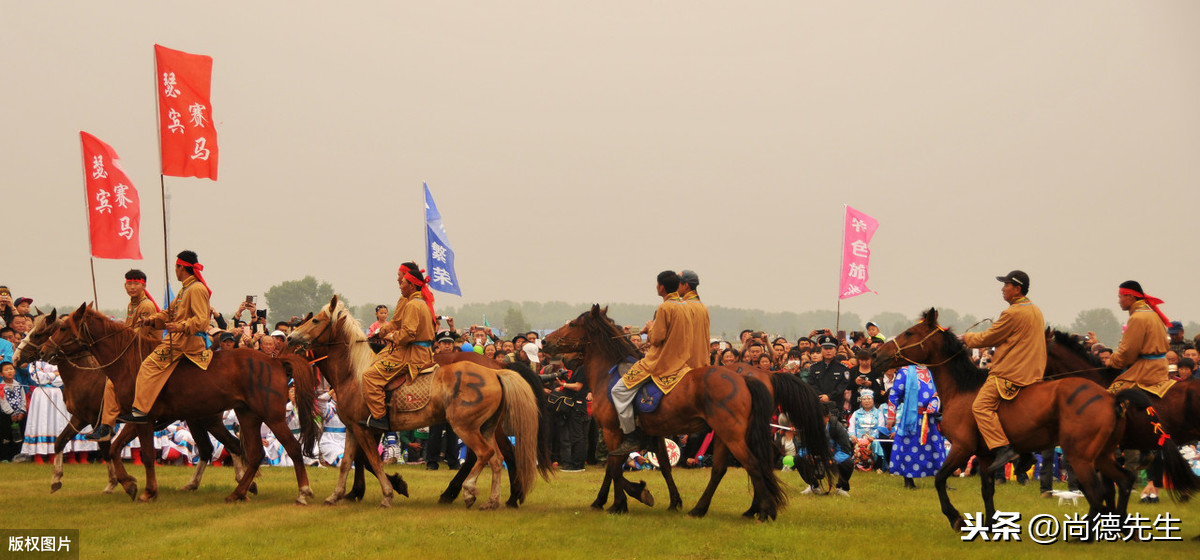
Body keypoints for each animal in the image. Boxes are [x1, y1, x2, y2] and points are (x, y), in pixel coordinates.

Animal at [15, 309, 248, 496]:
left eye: (38, 333)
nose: (18, 357)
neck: (86, 375)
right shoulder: (81, 418)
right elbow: (61, 441)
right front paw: (56, 480)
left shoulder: (96, 420)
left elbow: (106, 449)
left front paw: (115, 483)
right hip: (195, 420)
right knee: (209, 449)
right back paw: (199, 484)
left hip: (207, 420)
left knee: (230, 445)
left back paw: (241, 480)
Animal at [42, 304, 319, 506]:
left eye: (63, 327)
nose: (44, 351)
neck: (129, 362)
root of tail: (275, 361)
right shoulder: (132, 419)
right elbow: (114, 449)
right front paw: (129, 484)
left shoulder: (142, 419)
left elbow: (144, 455)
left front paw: (147, 491)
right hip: (246, 416)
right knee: (253, 454)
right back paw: (238, 492)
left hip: (270, 417)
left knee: (292, 448)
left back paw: (303, 492)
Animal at [280, 298, 544, 513]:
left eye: (315, 320)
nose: (290, 340)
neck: (354, 374)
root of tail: (495, 371)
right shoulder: (354, 429)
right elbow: (348, 463)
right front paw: (338, 495)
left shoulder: (366, 429)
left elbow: (372, 461)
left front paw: (389, 492)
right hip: (485, 427)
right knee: (496, 458)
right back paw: (493, 499)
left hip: (466, 426)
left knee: (486, 454)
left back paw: (471, 491)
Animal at [544, 306, 796, 522]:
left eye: (573, 324)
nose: (546, 342)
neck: (609, 373)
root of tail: (744, 377)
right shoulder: (653, 434)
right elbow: (660, 466)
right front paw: (672, 501)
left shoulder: (612, 430)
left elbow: (614, 468)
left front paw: (625, 500)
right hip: (727, 435)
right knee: (722, 469)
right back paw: (705, 509)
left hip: (732, 434)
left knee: (752, 464)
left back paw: (765, 511)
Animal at [873, 309, 1132, 532]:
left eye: (910, 333)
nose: (876, 355)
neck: (963, 389)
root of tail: (1110, 398)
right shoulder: (986, 455)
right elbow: (987, 490)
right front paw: (988, 526)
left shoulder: (962, 448)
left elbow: (939, 479)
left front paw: (956, 518)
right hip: (1102, 455)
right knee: (1122, 482)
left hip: (1080, 456)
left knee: (1097, 493)